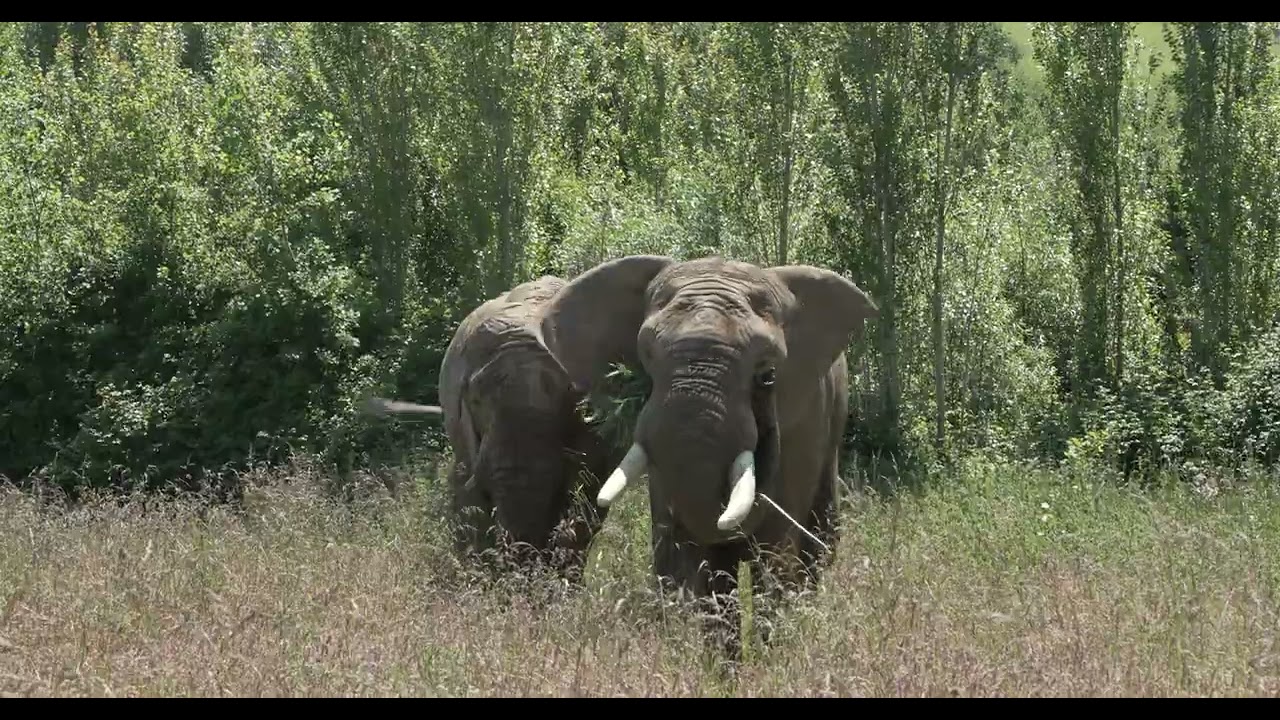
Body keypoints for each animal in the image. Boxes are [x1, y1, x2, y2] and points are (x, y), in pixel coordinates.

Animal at [534, 254, 879, 662]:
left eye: (768, 373)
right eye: (646, 356)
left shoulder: (805, 422)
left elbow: (775, 556)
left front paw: (768, 664)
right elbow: (698, 564)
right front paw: (719, 667)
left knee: (815, 550)